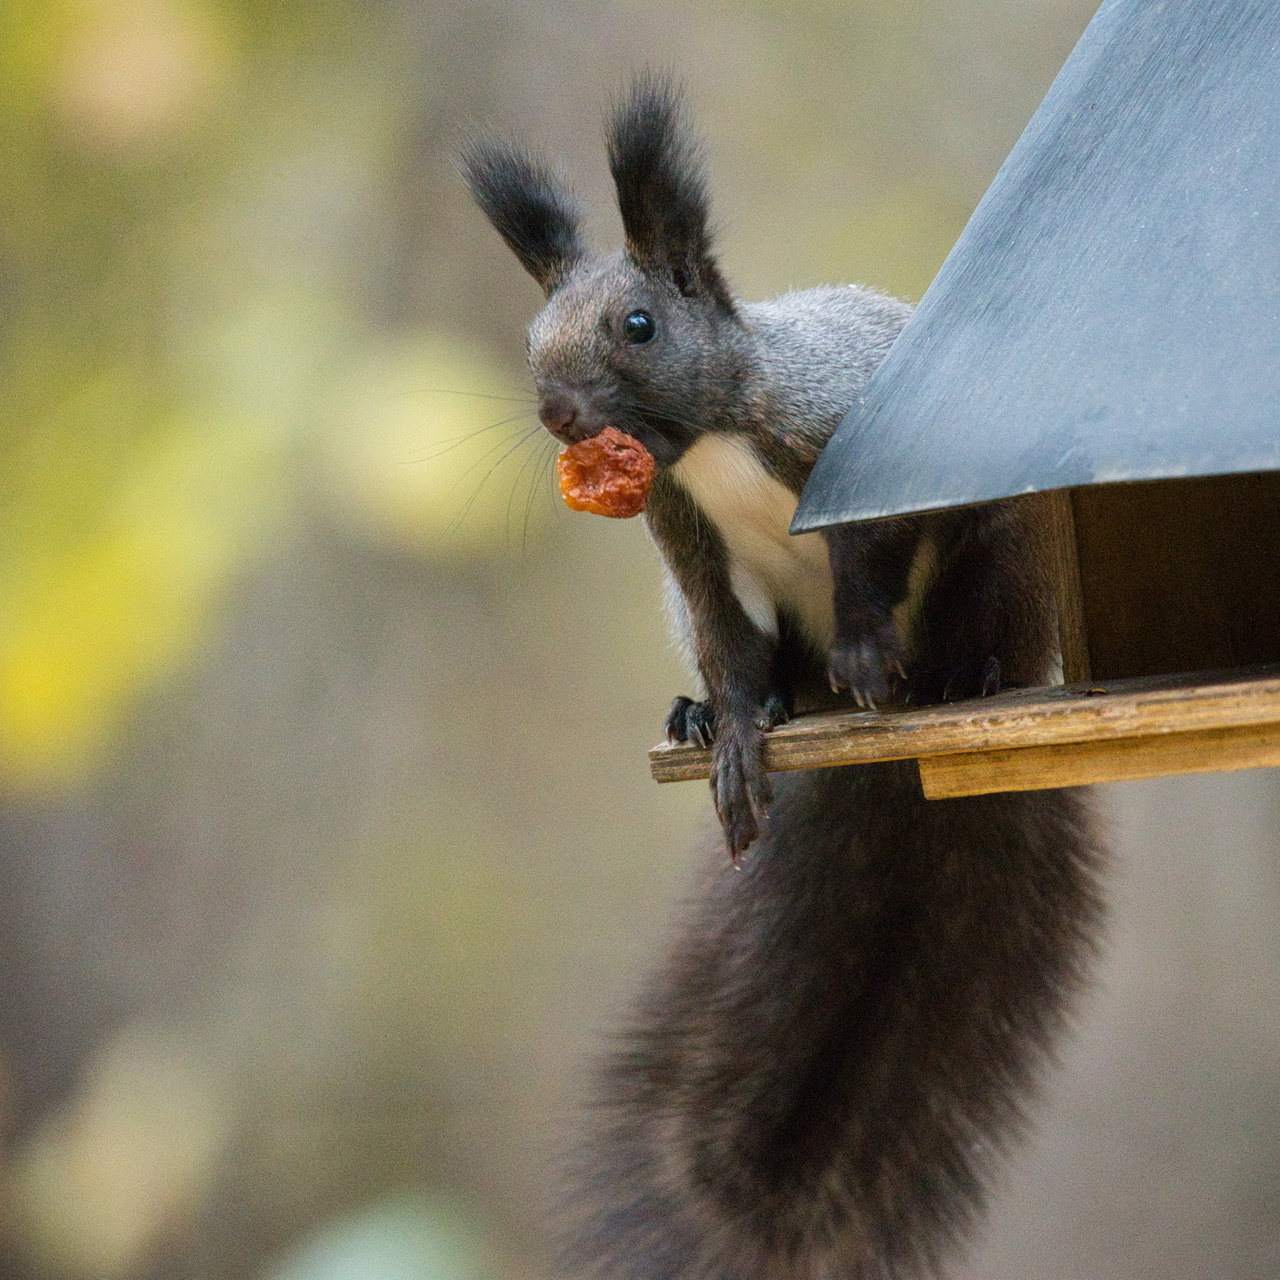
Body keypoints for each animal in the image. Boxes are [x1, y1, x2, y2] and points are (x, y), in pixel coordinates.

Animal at [460, 77, 1100, 1280]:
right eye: (530, 339)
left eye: (639, 325)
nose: (557, 413)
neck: (711, 436)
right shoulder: (684, 544)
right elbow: (725, 637)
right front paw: (735, 734)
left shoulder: (854, 443)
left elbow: (867, 555)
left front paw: (861, 649)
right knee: (757, 668)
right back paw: (715, 712)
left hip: (1003, 550)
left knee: (968, 624)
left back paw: (949, 676)